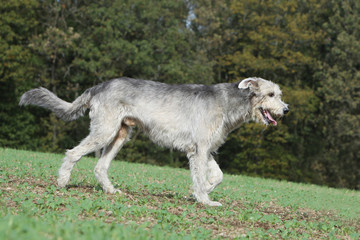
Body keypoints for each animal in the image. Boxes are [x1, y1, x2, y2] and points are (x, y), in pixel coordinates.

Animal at [19, 77, 290, 206]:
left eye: (279, 94)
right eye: (270, 94)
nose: (286, 109)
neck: (228, 103)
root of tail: (98, 87)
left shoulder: (204, 149)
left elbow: (218, 175)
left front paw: (204, 191)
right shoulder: (200, 149)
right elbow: (201, 177)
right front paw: (205, 200)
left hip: (120, 135)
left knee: (100, 166)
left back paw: (110, 190)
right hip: (104, 131)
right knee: (73, 153)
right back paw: (62, 182)